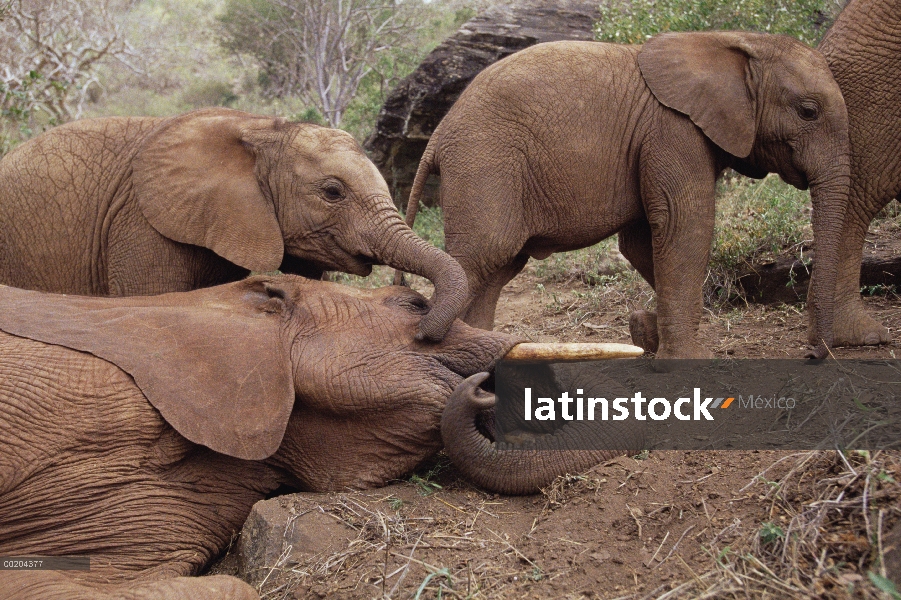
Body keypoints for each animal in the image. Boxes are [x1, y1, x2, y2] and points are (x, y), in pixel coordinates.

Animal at [400, 32, 852, 358]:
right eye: (808, 111)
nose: (812, 354)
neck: (732, 42)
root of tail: (437, 135)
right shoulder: (672, 132)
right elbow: (685, 225)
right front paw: (688, 358)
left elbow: (641, 242)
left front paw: (647, 330)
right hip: (484, 166)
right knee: (479, 258)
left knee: (496, 270)